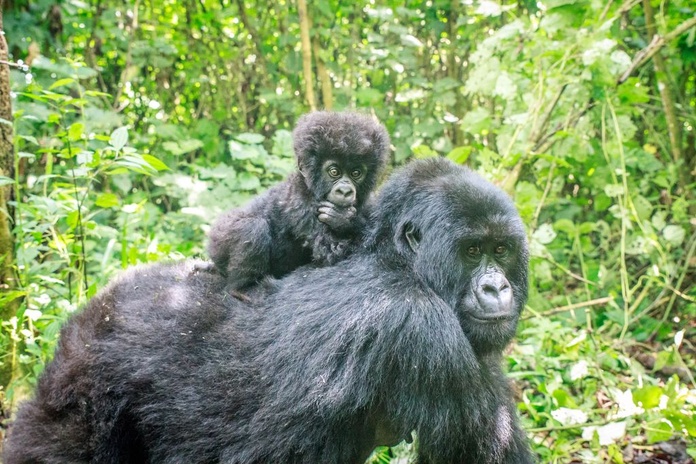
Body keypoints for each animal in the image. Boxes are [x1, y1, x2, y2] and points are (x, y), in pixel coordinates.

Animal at [2, 158, 532, 462]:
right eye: (471, 252)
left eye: (502, 251)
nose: (496, 287)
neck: (397, 260)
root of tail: (98, 307)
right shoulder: (425, 333)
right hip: (81, 382)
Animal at [207, 110, 392, 288]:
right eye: (334, 172)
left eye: (356, 173)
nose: (345, 191)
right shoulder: (301, 202)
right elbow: (335, 251)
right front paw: (345, 219)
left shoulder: (368, 203)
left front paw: (345, 219)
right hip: (219, 237)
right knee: (253, 228)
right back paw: (239, 288)